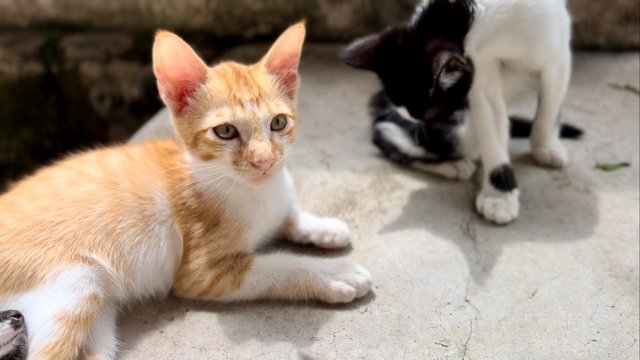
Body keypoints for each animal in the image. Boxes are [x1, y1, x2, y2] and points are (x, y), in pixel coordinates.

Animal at [0, 23, 370, 360]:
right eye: (225, 131)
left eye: (279, 123)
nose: (265, 161)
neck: (250, 190)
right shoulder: (203, 272)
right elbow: (278, 265)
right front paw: (334, 273)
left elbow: (288, 213)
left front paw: (324, 227)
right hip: (74, 288)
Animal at [340, 0, 580, 225]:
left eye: (432, 115)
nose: (428, 126)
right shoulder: (479, 66)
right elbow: (491, 122)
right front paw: (499, 197)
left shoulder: (557, 50)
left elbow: (550, 105)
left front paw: (545, 146)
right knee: (388, 135)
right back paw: (454, 166)